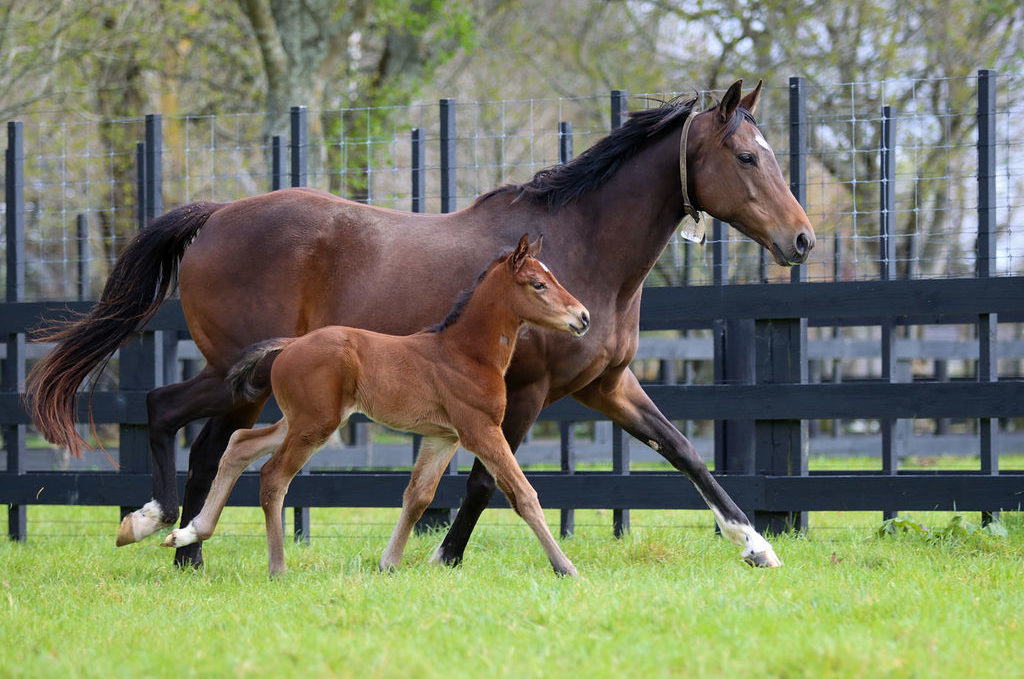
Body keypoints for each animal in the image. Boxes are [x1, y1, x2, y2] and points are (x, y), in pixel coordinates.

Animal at [162, 236, 589, 577]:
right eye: (537, 284)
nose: (583, 317)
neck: (465, 354)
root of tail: (289, 344)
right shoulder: (480, 429)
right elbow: (523, 494)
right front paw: (566, 567)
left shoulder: (443, 437)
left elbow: (418, 497)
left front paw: (388, 564)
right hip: (315, 424)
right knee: (273, 475)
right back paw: (277, 567)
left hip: (303, 419)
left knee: (240, 444)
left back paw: (189, 532)